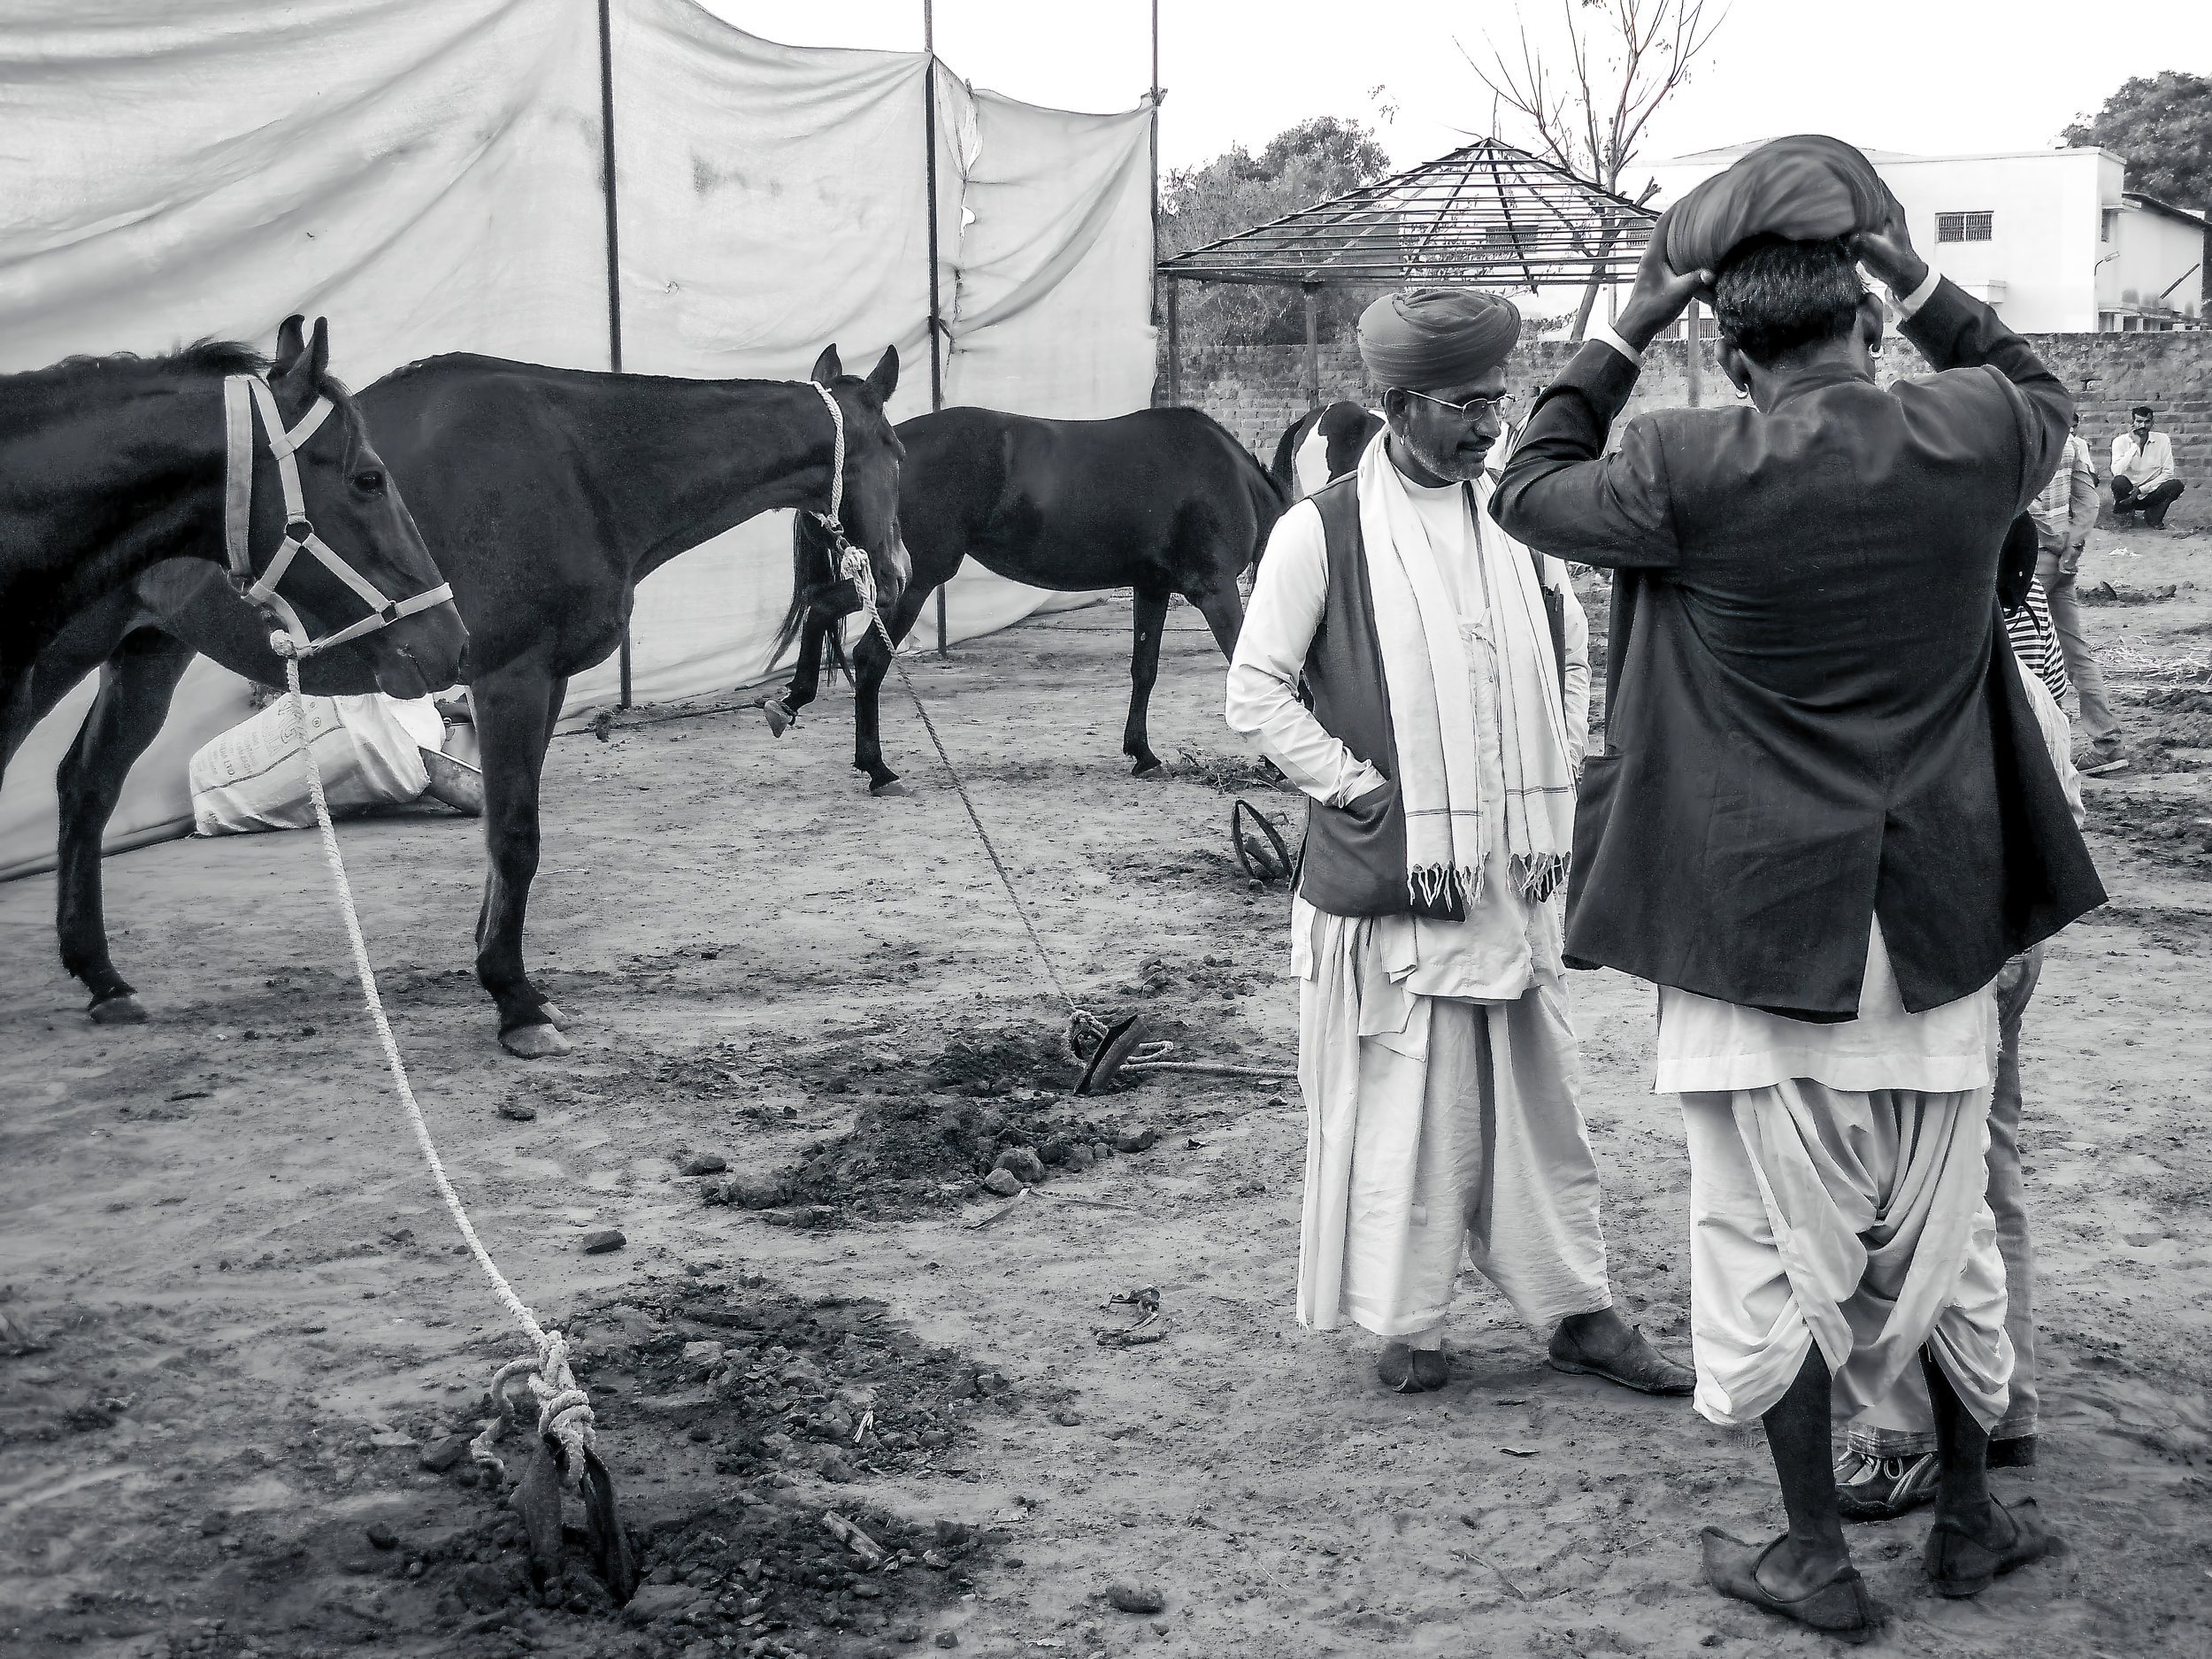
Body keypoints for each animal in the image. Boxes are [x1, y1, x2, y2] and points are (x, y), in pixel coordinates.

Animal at [774, 403, 1283, 792]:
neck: (1228, 476)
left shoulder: (1153, 589)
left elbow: (1145, 670)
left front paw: (1142, 753)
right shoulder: (1213, 590)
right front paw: (1275, 765)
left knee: (822, 607)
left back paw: (795, 701)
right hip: (910, 584)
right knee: (869, 657)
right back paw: (877, 768)